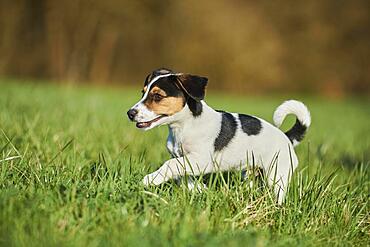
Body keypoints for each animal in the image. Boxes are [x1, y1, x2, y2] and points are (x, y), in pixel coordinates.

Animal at [125, 68, 310, 204]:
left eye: (157, 96)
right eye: (142, 93)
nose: (130, 113)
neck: (183, 126)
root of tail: (286, 137)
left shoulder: (201, 159)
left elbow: (170, 165)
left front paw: (150, 180)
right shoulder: (184, 159)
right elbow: (182, 175)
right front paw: (200, 189)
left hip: (277, 175)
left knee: (278, 194)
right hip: (250, 172)